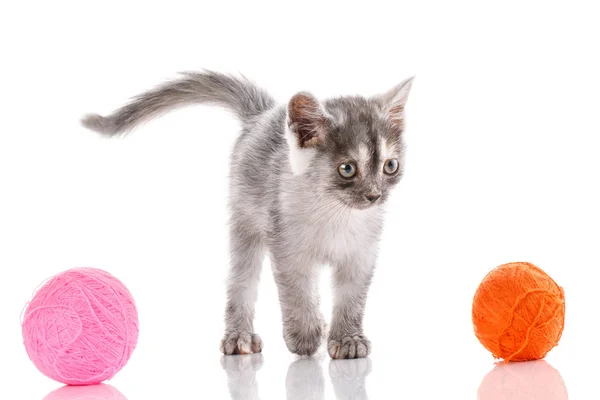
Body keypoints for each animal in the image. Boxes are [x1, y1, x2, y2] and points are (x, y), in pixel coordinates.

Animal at [82, 71, 412, 360]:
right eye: (347, 169)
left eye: (390, 166)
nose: (374, 195)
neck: (336, 215)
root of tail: (262, 115)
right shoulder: (286, 250)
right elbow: (296, 294)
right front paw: (304, 335)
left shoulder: (361, 257)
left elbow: (352, 300)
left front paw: (348, 339)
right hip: (245, 224)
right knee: (241, 282)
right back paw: (238, 336)